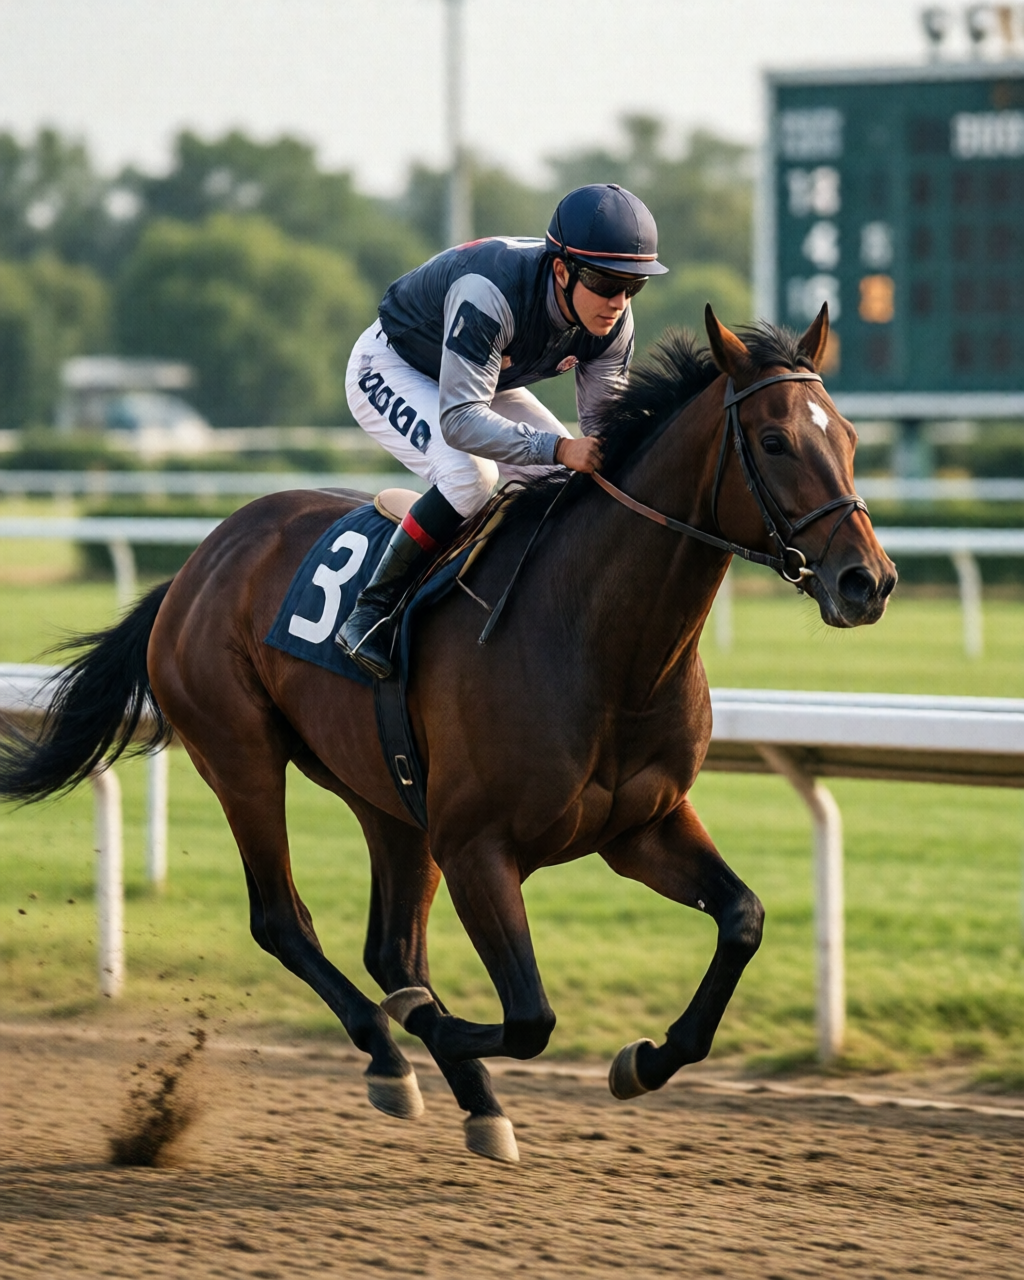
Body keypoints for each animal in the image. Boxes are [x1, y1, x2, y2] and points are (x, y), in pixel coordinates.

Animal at [0, 306, 896, 1163]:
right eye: (775, 441)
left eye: (850, 437)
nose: (869, 581)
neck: (600, 641)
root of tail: (196, 563)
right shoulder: (477, 846)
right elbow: (531, 1017)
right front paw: (437, 1033)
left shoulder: (641, 826)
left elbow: (742, 918)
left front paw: (644, 1060)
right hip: (241, 757)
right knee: (286, 922)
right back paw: (390, 1052)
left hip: (390, 800)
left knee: (392, 950)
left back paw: (472, 1098)